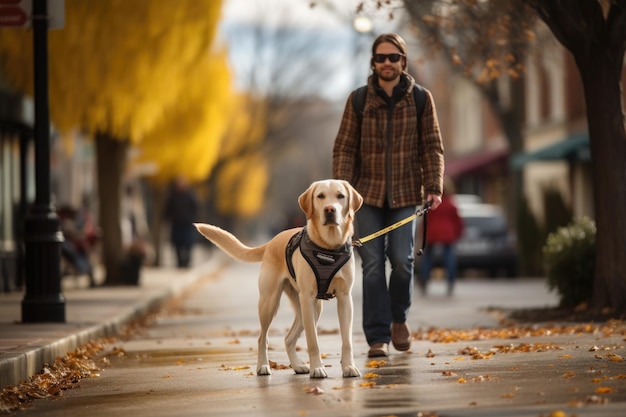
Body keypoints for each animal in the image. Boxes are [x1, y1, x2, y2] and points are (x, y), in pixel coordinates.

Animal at [194, 179, 360, 376]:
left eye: (341, 196)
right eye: (320, 196)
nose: (329, 209)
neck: (328, 248)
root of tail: (271, 241)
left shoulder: (345, 298)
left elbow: (347, 340)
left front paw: (349, 367)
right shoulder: (307, 297)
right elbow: (313, 341)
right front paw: (317, 368)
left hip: (309, 307)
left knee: (288, 338)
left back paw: (298, 366)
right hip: (270, 302)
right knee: (262, 338)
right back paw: (263, 367)